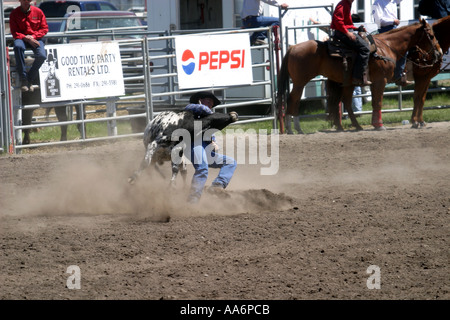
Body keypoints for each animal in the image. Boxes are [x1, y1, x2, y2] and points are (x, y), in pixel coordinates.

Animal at [278, 18, 442, 131]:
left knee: (346, 102)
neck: (387, 47)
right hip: (300, 82)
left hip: (347, 83)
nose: (439, 53)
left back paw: (355, 126)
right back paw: (294, 129)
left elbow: (375, 102)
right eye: (431, 35)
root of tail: (292, 47)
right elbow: (378, 102)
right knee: (293, 100)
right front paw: (379, 125)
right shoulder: (380, 80)